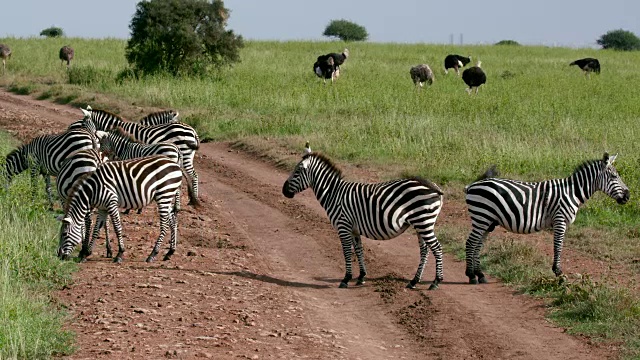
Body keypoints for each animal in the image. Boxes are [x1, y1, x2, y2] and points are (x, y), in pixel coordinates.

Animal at [59, 154, 201, 262]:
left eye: (64, 234)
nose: (59, 256)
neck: (93, 190)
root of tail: (176, 164)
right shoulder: (102, 208)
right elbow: (96, 229)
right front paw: (87, 253)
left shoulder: (112, 203)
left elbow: (117, 228)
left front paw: (119, 254)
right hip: (168, 195)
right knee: (173, 220)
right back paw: (170, 252)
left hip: (164, 194)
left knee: (165, 224)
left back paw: (153, 254)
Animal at [70, 107, 200, 202]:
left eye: (83, 125)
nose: (80, 132)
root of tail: (193, 131)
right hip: (187, 155)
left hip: (184, 154)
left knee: (193, 175)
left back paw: (193, 199)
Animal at [280, 143, 444, 290]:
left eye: (297, 172)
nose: (284, 191)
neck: (333, 193)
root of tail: (432, 185)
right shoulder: (354, 229)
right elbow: (358, 250)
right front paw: (361, 277)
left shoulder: (343, 226)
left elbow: (347, 251)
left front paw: (346, 279)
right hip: (420, 224)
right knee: (425, 250)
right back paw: (414, 281)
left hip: (423, 222)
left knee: (437, 247)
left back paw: (436, 282)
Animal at [460, 153, 632, 284]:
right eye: (614, 176)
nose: (628, 196)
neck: (573, 192)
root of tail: (472, 185)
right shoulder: (560, 220)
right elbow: (558, 246)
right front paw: (558, 272)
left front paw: (557, 271)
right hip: (482, 216)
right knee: (471, 243)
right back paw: (471, 276)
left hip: (487, 221)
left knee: (478, 244)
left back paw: (480, 275)